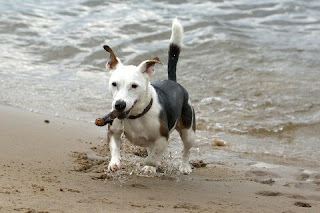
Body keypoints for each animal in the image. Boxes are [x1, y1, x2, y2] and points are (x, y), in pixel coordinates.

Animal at [100, 18, 195, 175]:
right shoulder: (113, 130)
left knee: (186, 149)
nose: (119, 105)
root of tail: (173, 82)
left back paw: (185, 166)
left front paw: (151, 165)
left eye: (134, 86)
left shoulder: (162, 137)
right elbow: (114, 147)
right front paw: (115, 162)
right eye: (114, 84)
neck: (136, 116)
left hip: (188, 130)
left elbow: (153, 157)